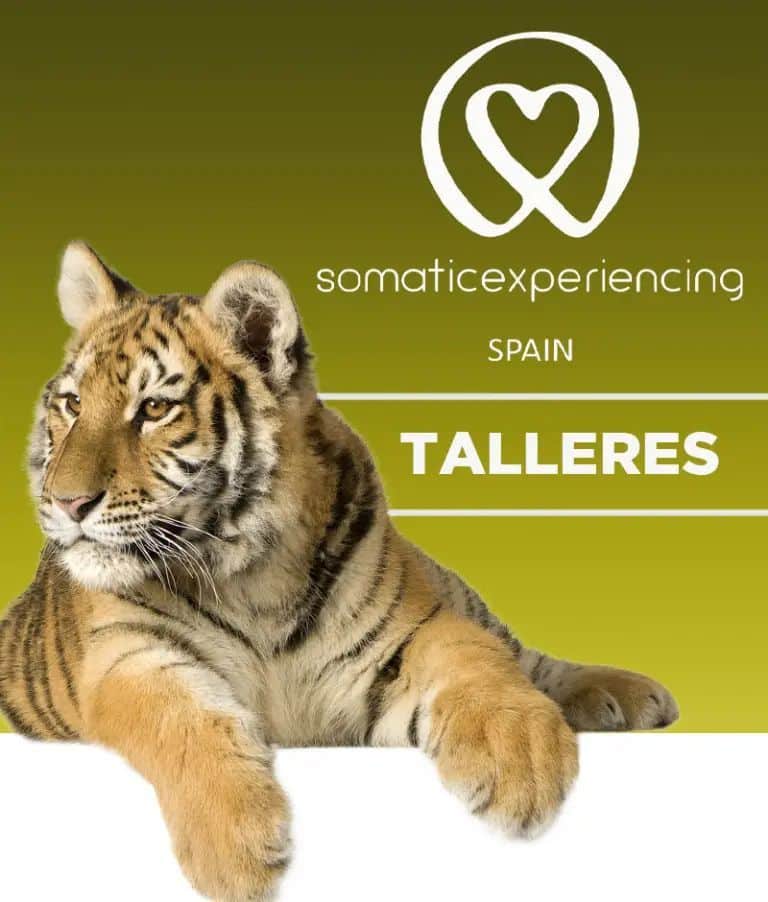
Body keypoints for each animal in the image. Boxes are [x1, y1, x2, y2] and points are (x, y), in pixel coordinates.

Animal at [0, 242, 678, 901]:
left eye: (155, 409)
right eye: (72, 404)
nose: (66, 503)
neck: (251, 575)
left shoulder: (414, 627)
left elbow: (475, 659)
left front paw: (519, 762)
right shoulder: (128, 656)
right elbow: (179, 721)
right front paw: (236, 855)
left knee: (518, 651)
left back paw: (633, 695)